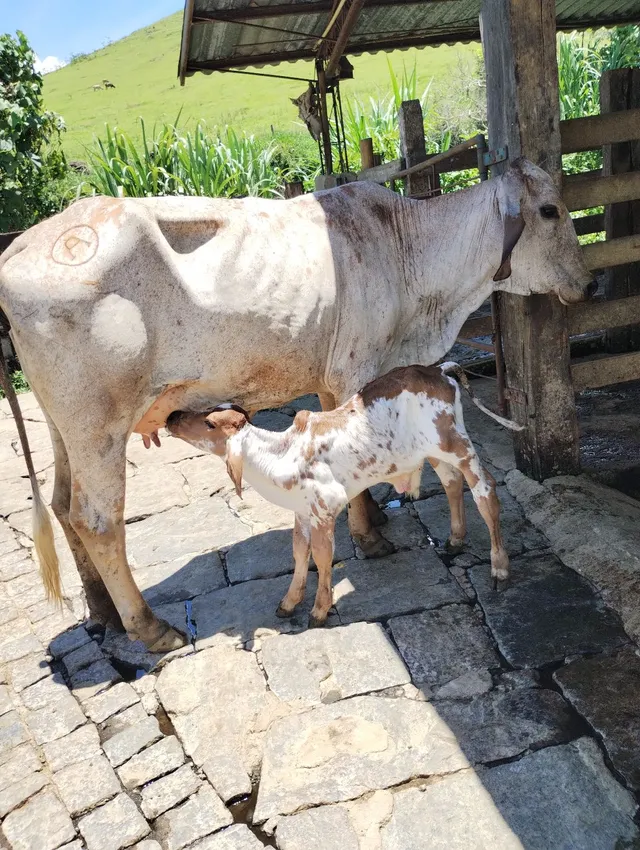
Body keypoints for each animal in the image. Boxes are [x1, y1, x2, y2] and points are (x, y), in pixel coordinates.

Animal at [0, 157, 595, 651]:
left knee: (61, 505)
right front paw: (368, 537)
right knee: (97, 519)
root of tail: (22, 246)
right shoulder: (354, 366)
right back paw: (148, 627)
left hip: (62, 426)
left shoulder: (331, 380)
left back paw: (102, 612)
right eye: (550, 210)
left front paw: (368, 522)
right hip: (97, 423)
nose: (588, 284)